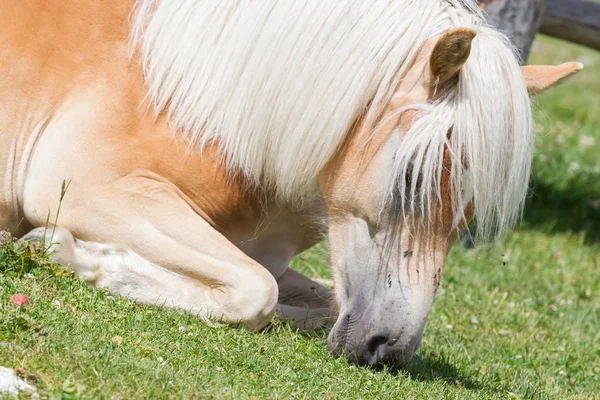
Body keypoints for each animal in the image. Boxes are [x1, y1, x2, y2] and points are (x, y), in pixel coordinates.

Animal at [0, 0, 580, 368]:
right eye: (412, 175)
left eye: (470, 209)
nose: (388, 349)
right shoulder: (91, 187)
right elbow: (256, 289)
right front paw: (67, 252)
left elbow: (310, 300)